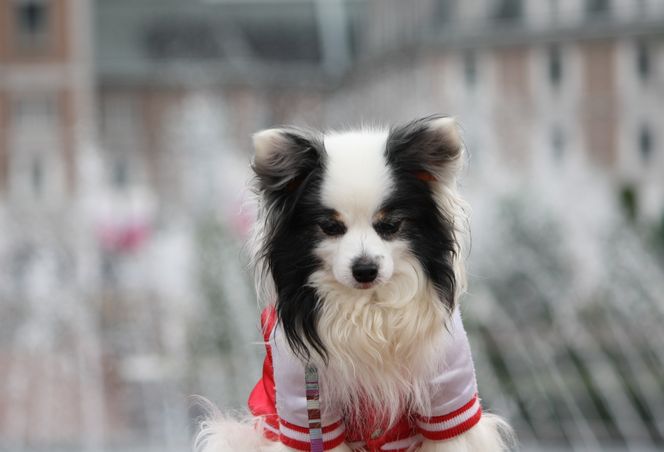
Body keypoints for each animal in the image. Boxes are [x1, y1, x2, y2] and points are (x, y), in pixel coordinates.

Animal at [195, 115, 513, 451]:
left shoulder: (448, 393)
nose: (365, 269)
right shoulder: (308, 408)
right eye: (330, 227)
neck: (369, 308)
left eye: (390, 225)